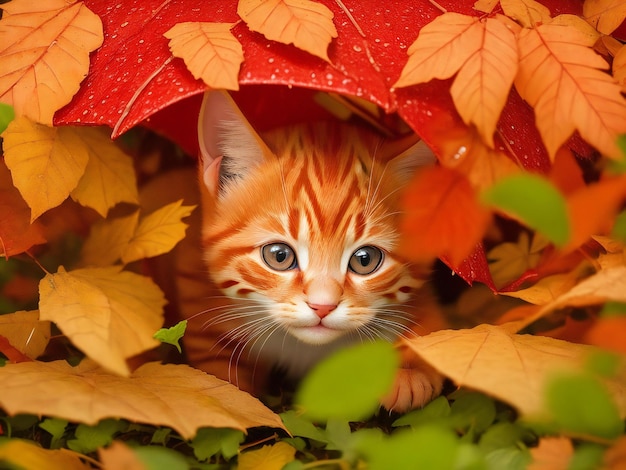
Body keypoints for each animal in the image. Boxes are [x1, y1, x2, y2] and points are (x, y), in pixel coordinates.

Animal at [152, 92, 444, 412]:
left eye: (365, 260)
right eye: (279, 256)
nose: (322, 307)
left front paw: (410, 372)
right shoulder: (195, 282)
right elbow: (219, 372)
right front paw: (233, 401)